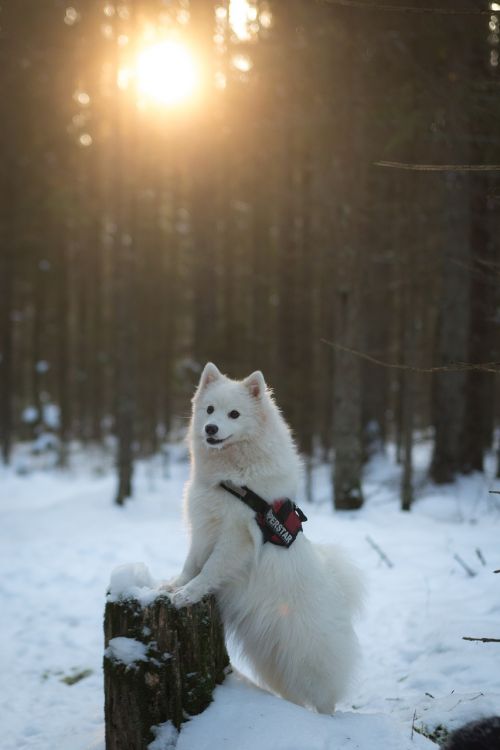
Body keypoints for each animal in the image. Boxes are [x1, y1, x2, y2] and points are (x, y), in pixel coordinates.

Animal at [169, 364, 364, 716]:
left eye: (234, 414)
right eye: (209, 409)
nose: (210, 428)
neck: (231, 479)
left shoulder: (234, 539)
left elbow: (209, 570)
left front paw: (187, 595)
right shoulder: (204, 528)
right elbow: (191, 564)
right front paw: (171, 586)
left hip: (309, 663)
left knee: (324, 699)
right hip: (273, 662)